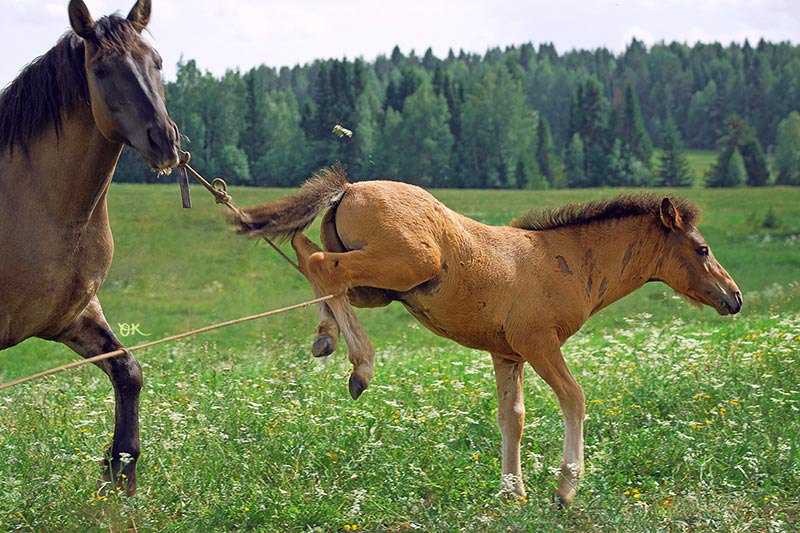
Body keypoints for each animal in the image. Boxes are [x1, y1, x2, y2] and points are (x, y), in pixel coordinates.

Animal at [231, 167, 744, 508]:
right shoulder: (539, 343)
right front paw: (565, 487)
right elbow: (574, 397)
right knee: (322, 265)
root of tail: (351, 187)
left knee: (308, 255)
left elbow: (511, 418)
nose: (734, 297)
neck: (563, 261)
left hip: (377, 289)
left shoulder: (507, 354)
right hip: (402, 266)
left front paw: (512, 492)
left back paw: (327, 337)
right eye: (702, 249)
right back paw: (361, 365)